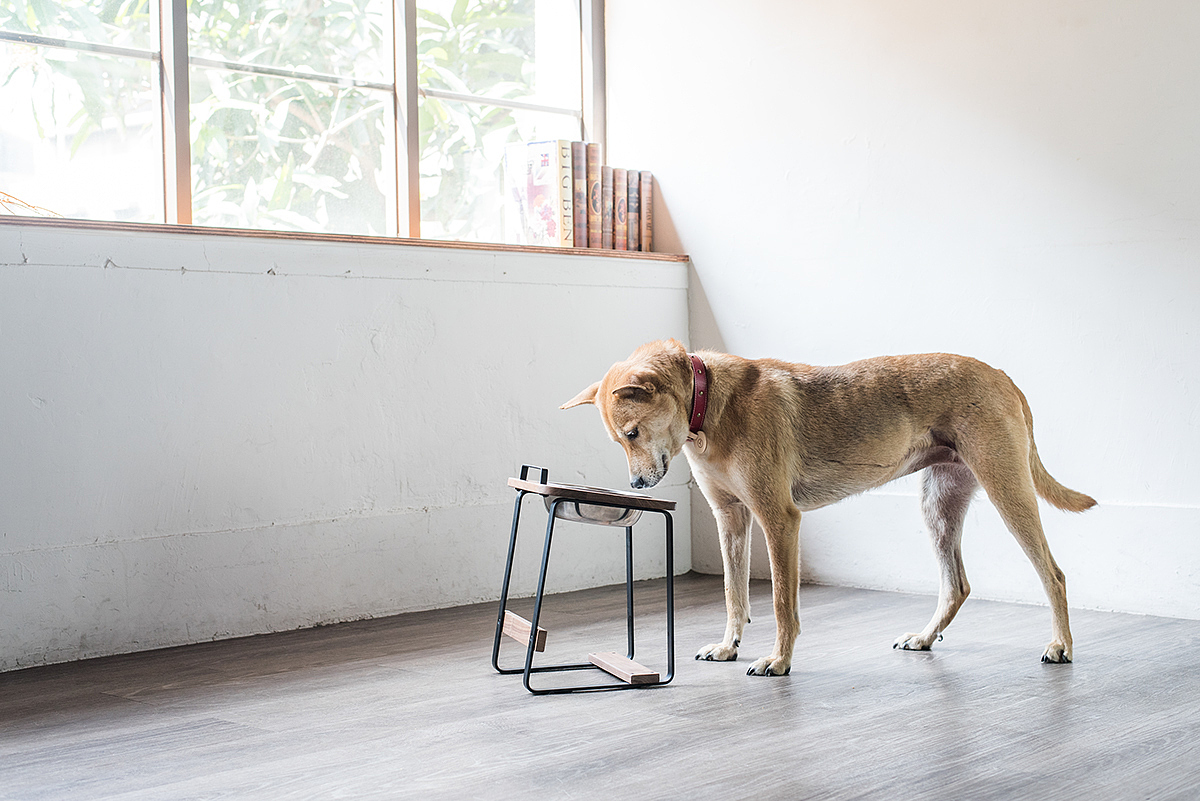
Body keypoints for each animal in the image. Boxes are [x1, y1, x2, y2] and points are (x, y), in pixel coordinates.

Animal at [561, 338, 1099, 676]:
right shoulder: (730, 519)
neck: (708, 400)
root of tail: (1002, 375)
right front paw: (729, 646)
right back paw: (925, 638)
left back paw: (1061, 645)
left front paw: (778, 661)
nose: (635, 484)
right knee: (956, 585)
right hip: (939, 505)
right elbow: (735, 596)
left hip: (1008, 490)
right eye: (618, 441)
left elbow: (782, 603)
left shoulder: (778, 520)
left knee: (1053, 575)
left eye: (632, 434)